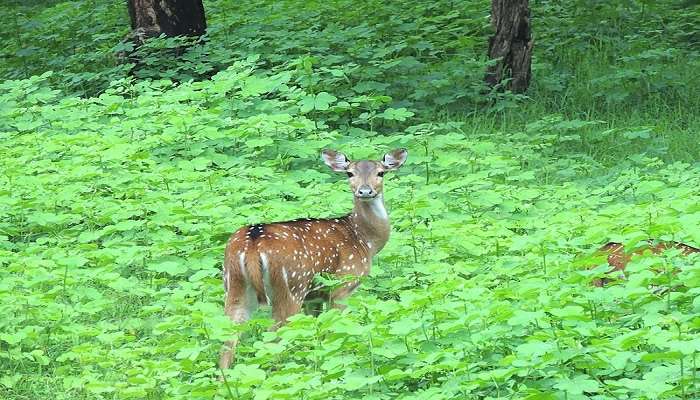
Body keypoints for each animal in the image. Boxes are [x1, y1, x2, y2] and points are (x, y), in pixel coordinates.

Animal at [217, 148, 404, 368]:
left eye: (381, 172)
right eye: (349, 173)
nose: (365, 191)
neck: (365, 240)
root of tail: (253, 243)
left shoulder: (313, 297)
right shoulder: (342, 286)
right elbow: (334, 329)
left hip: (234, 285)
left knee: (227, 341)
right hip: (291, 287)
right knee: (274, 337)